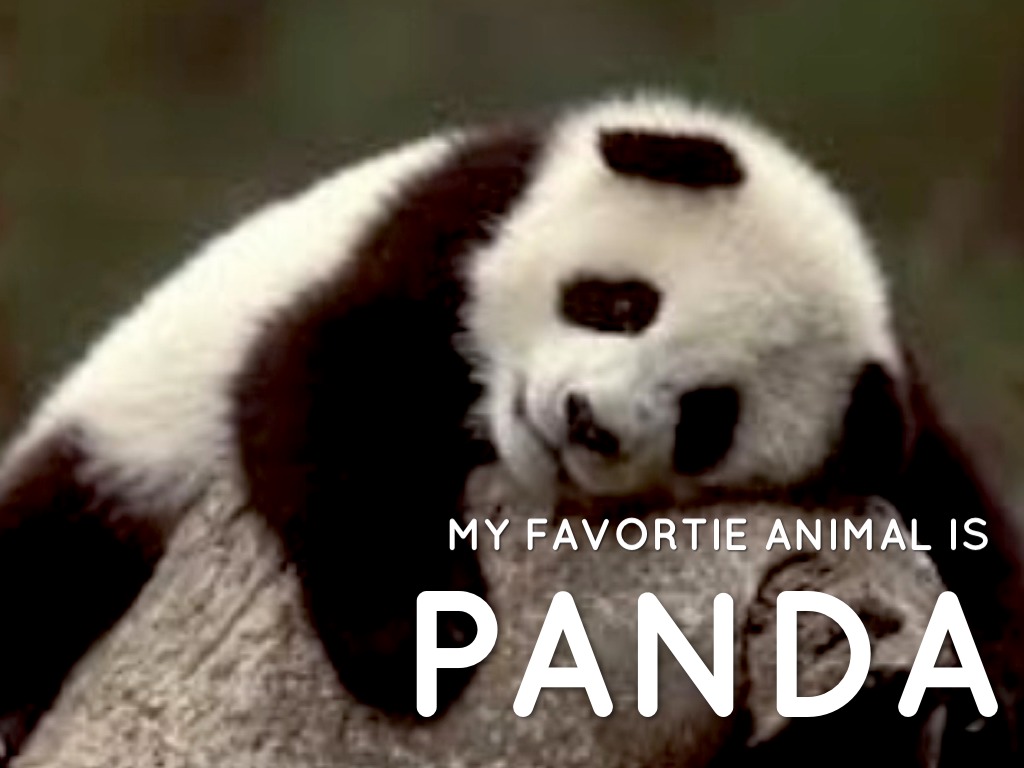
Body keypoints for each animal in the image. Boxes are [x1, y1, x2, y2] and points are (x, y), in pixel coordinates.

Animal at [0, 92, 1020, 761]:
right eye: (620, 303)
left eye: (706, 418)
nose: (583, 421)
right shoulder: (454, 222)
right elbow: (327, 376)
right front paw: (410, 640)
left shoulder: (893, 413)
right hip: (113, 447)